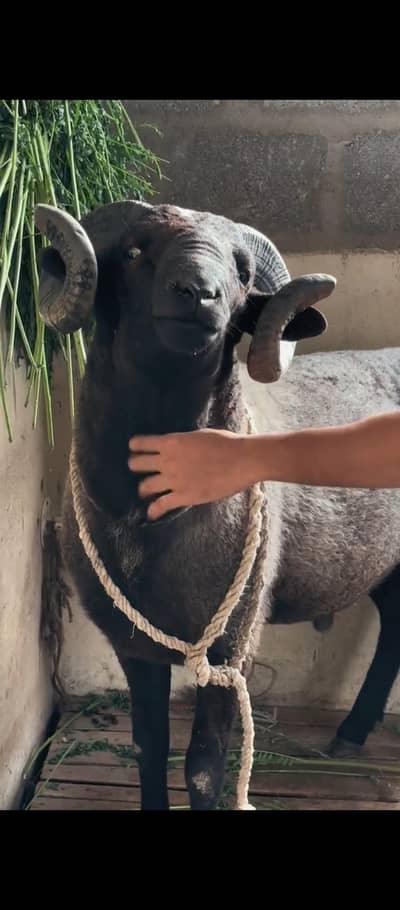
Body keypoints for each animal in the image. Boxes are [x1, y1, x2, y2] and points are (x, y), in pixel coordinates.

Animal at [34, 200, 400, 810]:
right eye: (133, 251)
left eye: (243, 270)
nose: (198, 293)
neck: (148, 520)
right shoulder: (133, 642)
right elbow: (148, 747)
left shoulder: (232, 643)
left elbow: (204, 767)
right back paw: (350, 735)